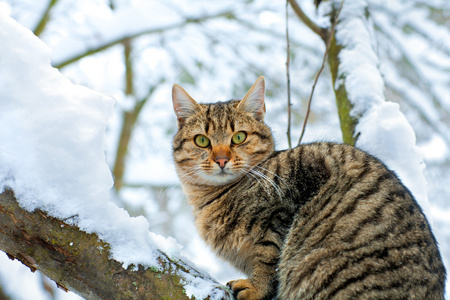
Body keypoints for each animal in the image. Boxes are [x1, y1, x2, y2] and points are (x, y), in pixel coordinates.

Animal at [171, 76, 444, 298]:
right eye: (202, 140)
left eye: (239, 137)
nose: (221, 160)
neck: (212, 198)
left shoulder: (289, 201)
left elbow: (269, 257)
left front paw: (257, 287)